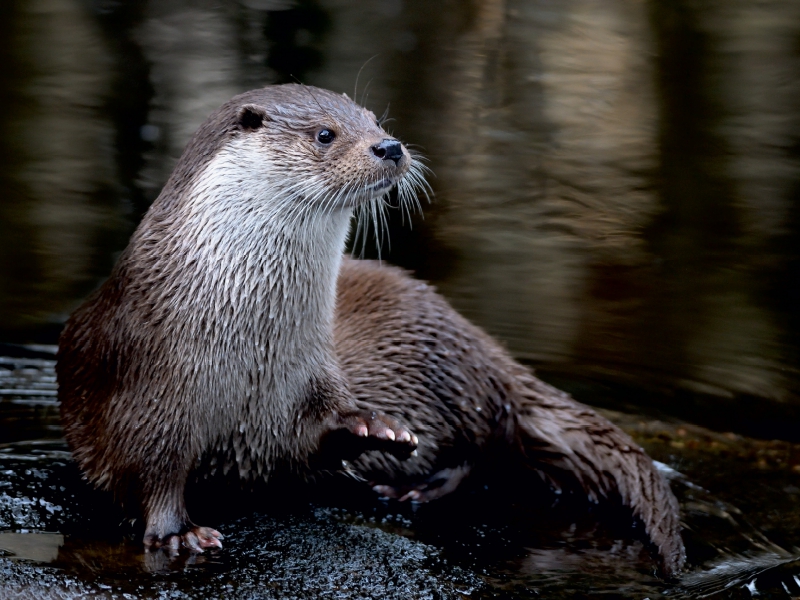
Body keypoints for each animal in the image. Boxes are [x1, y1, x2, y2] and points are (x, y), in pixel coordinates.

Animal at [56, 83, 684, 576]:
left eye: (376, 121)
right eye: (326, 134)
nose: (390, 145)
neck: (245, 345)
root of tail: (483, 346)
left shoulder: (307, 379)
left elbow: (312, 438)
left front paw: (373, 427)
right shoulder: (149, 390)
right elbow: (149, 473)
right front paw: (178, 531)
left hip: (456, 377)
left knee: (487, 448)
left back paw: (413, 486)